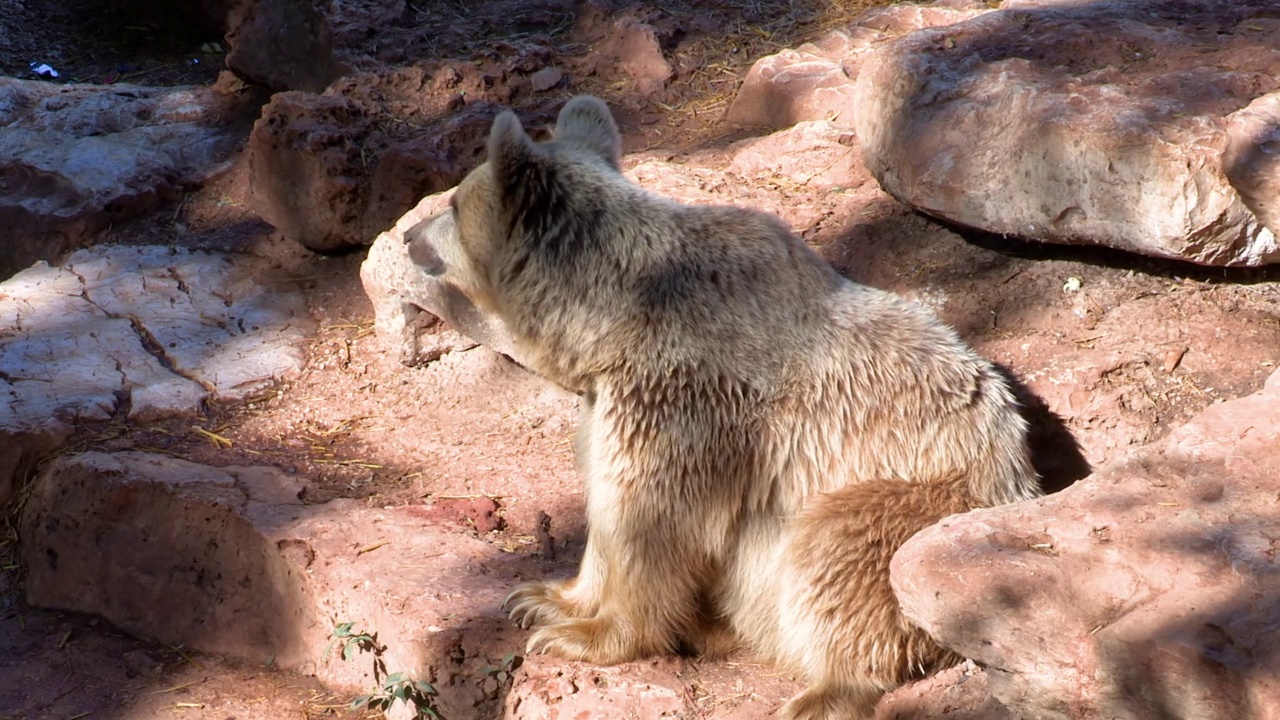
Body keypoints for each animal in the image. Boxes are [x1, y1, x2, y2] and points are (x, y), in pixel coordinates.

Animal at [409, 96, 1039, 717]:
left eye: (453, 203)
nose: (411, 237)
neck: (616, 321)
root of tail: (1021, 475)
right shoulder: (611, 400)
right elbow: (604, 502)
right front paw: (542, 598)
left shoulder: (686, 402)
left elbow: (651, 520)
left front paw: (586, 635)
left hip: (928, 503)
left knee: (842, 553)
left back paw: (820, 690)